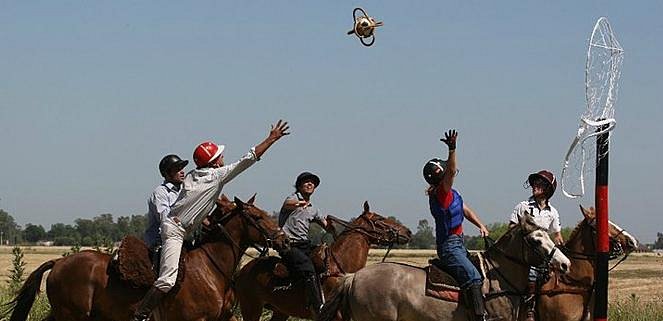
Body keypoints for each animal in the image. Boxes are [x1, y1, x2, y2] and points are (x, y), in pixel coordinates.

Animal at [236, 201, 412, 320]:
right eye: (379, 219)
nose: (408, 232)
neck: (339, 267)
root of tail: (242, 271)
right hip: (251, 307)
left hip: (280, 311)